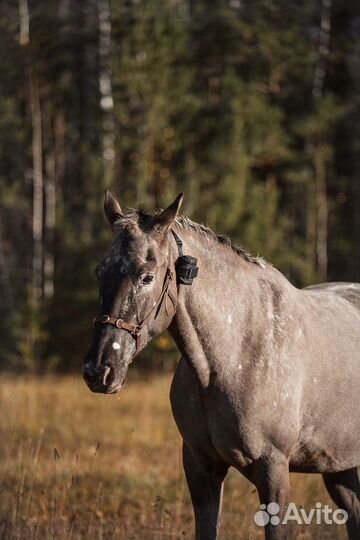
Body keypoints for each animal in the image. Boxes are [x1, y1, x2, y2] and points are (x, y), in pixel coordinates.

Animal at [83, 193, 360, 540]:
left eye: (147, 277)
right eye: (100, 272)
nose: (99, 370)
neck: (233, 356)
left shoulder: (274, 469)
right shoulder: (201, 466)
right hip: (340, 467)